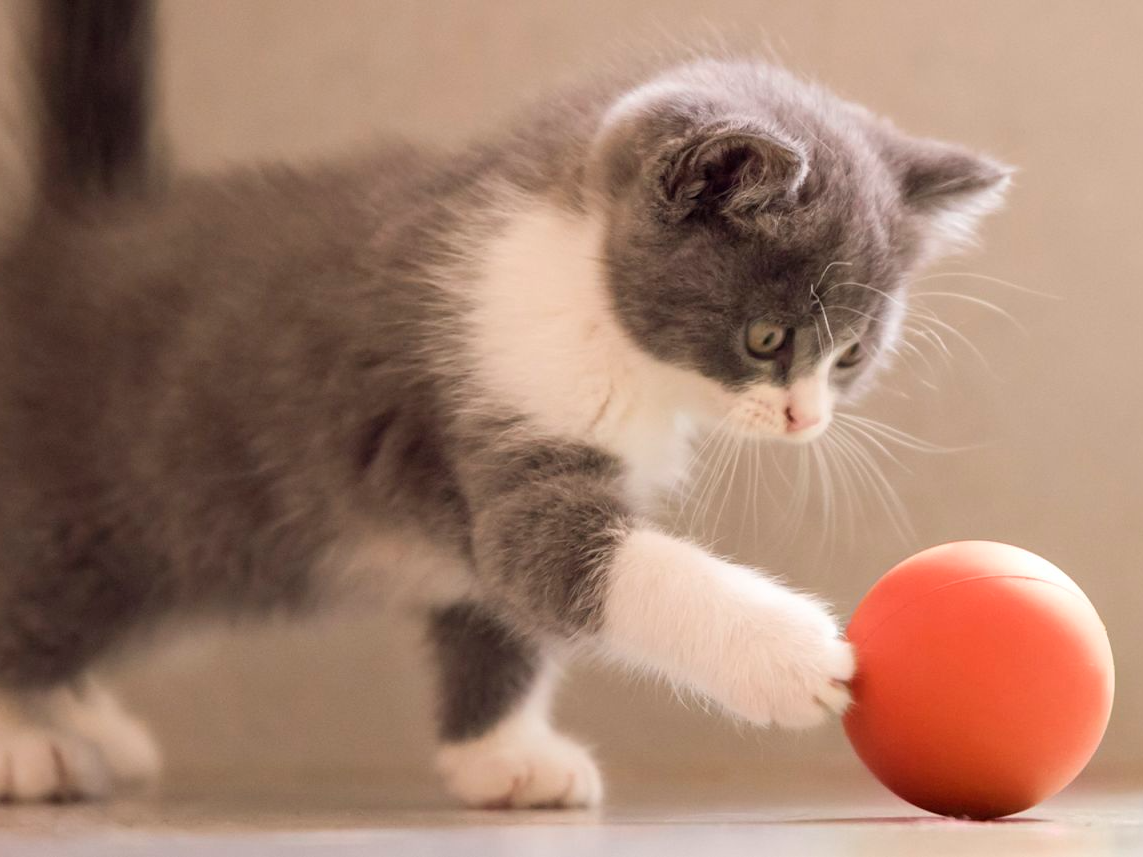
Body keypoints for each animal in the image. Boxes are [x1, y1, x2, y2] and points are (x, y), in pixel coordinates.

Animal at [2, 0, 1010, 809]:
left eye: (850, 356)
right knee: (41, 597)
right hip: (113, 508)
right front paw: (792, 653)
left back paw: (95, 727)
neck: (592, 311)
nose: (807, 420)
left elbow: (498, 616)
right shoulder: (495, 403)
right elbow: (572, 563)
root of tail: (76, 227)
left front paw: (501, 756)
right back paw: (35, 744)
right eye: (767, 339)